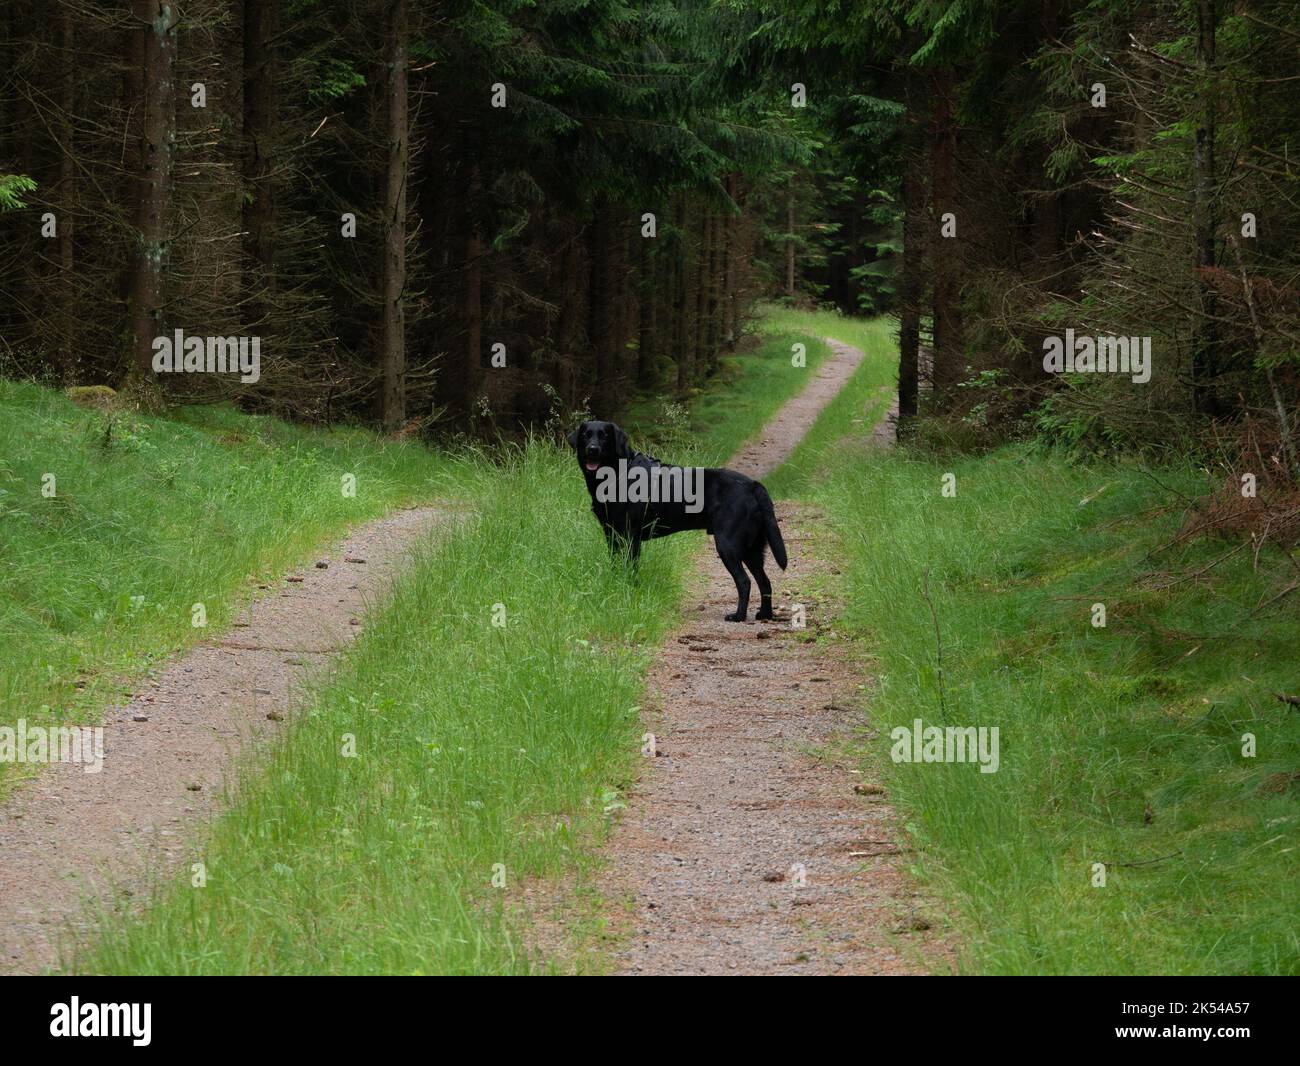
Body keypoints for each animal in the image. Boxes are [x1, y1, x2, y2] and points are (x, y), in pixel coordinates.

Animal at [566, 418, 785, 621]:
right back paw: (764, 614)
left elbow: (631, 568)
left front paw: (630, 590)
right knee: (765, 581)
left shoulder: (631, 537)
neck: (617, 474)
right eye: (585, 435)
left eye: (604, 436)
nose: (592, 449)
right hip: (752, 549)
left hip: (728, 544)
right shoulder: (611, 535)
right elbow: (615, 564)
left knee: (744, 581)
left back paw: (738, 615)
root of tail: (752, 484)